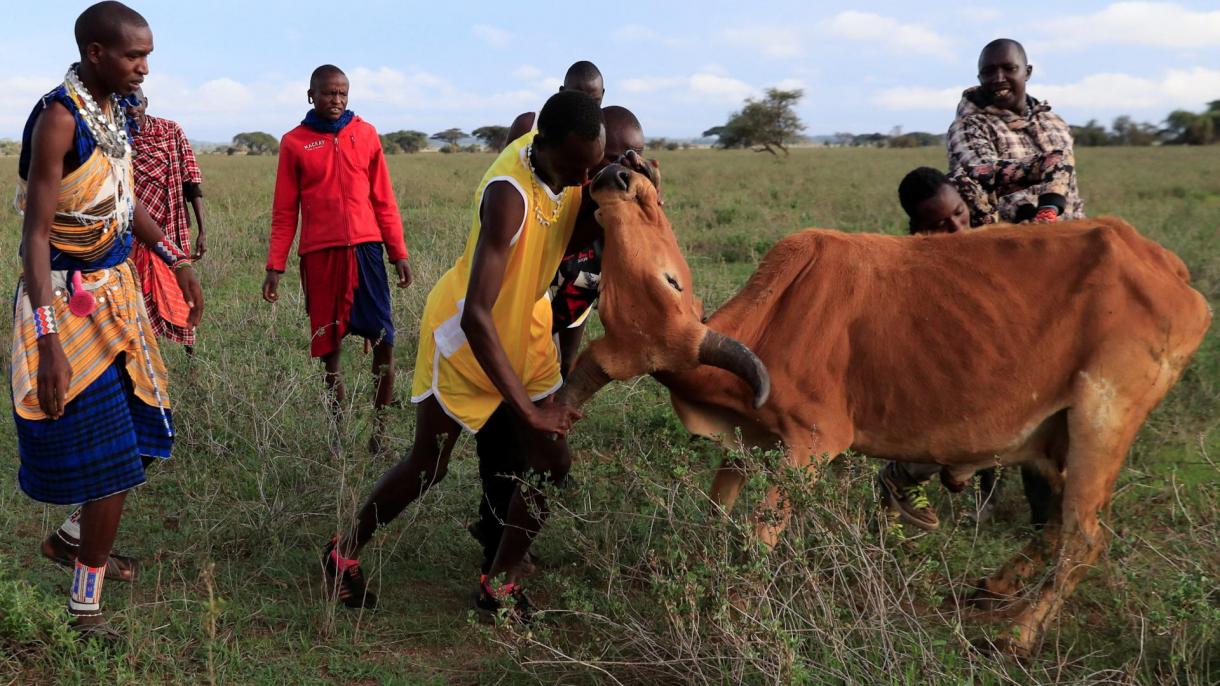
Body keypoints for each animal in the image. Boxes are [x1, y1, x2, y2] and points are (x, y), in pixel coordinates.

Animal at [561, 162, 1210, 654]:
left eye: (671, 281)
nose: (617, 175)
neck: (779, 313)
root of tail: (1168, 268)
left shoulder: (812, 444)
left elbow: (758, 534)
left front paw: (731, 611)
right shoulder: (750, 443)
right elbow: (717, 515)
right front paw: (700, 581)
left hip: (1103, 418)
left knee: (1083, 538)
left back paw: (1017, 635)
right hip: (1059, 439)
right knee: (1060, 526)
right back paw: (997, 586)